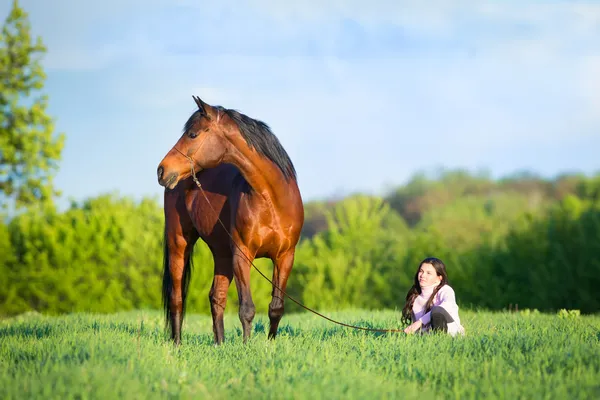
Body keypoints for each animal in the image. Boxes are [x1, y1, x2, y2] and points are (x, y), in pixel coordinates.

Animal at [156, 95, 304, 346]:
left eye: (192, 134)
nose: (162, 171)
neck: (272, 200)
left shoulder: (285, 257)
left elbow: (276, 307)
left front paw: (270, 344)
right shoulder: (242, 254)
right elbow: (247, 308)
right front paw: (247, 347)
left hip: (221, 253)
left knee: (216, 297)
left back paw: (220, 343)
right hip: (179, 243)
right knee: (177, 298)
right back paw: (177, 344)